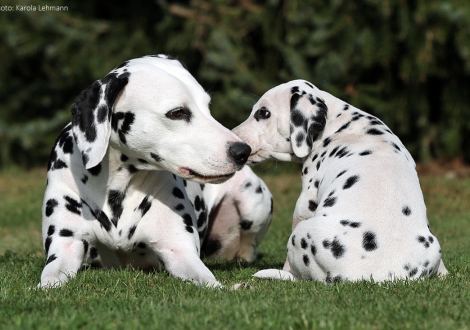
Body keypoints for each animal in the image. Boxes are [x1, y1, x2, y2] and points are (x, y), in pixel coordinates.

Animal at [42, 54, 274, 288]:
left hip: (251, 200)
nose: (243, 151)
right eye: (178, 112)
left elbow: (209, 282)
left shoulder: (180, 251)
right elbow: (49, 279)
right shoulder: (65, 245)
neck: (118, 189)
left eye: (207, 107)